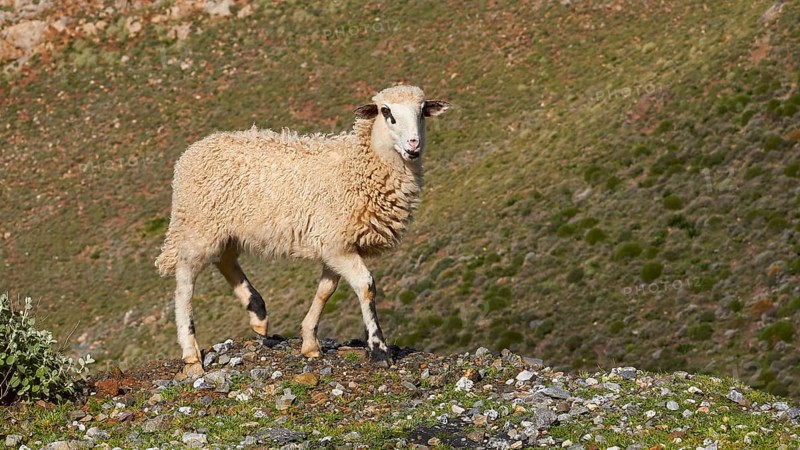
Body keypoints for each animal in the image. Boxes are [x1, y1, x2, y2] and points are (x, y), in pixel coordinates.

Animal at [155, 85, 450, 374]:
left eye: (422, 110)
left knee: (225, 260)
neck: (359, 166)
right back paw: (191, 351)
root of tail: (191, 153)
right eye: (386, 111)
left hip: (223, 228)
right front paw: (379, 350)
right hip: (199, 225)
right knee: (185, 281)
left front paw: (309, 342)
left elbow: (325, 290)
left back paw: (258, 314)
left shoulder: (335, 246)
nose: (413, 145)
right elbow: (366, 286)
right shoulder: (338, 245)